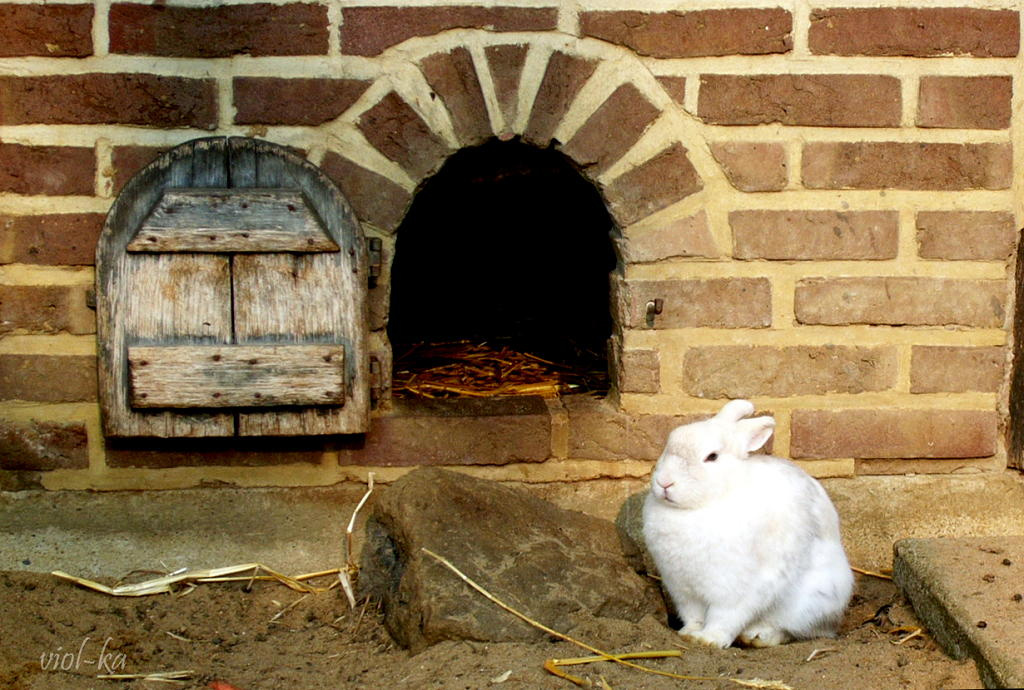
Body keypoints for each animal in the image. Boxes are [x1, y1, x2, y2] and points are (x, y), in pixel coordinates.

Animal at [642, 399, 853, 649]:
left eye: (712, 456)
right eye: (670, 441)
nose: (664, 482)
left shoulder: (736, 589)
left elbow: (725, 617)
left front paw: (709, 640)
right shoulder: (683, 588)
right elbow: (693, 615)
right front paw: (689, 634)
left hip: (809, 603)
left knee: (792, 629)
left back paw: (758, 636)